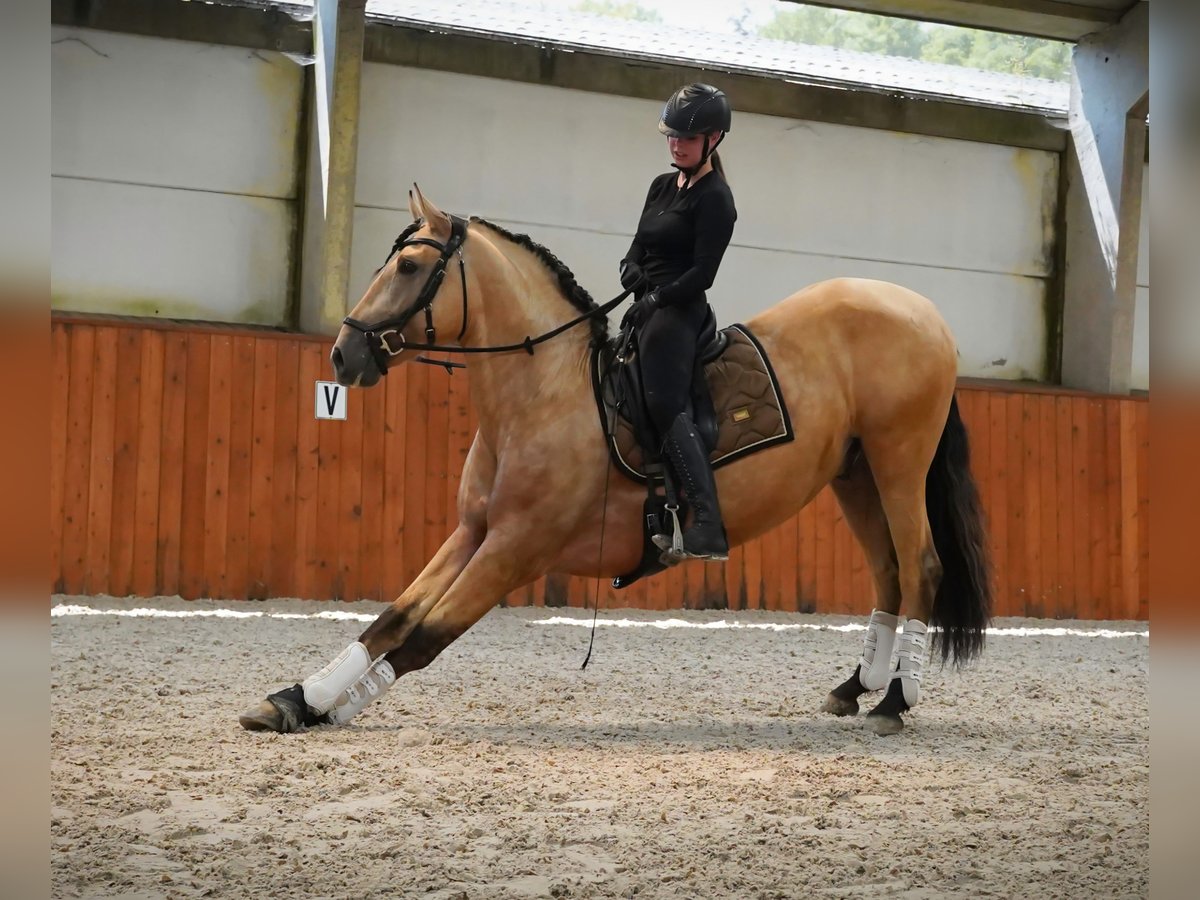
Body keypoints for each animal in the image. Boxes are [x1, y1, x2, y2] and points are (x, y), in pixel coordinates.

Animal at [238, 184, 988, 739]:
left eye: (410, 268)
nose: (344, 355)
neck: (541, 396)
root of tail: (925, 312)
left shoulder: (515, 549)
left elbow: (424, 635)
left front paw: (337, 706)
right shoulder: (475, 532)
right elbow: (392, 617)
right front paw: (297, 699)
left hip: (898, 462)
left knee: (920, 567)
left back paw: (893, 702)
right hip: (855, 475)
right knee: (889, 574)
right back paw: (853, 689)